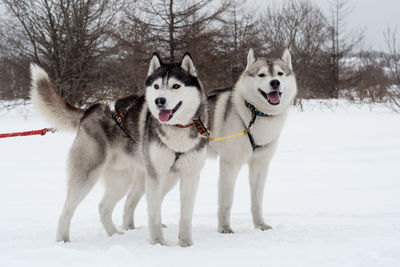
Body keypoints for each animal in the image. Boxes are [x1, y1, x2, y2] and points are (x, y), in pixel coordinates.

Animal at [29, 52, 208, 247]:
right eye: (156, 86)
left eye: (176, 86)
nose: (159, 101)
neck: (177, 130)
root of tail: (91, 110)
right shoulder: (155, 175)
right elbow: (154, 215)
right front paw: (158, 244)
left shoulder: (190, 175)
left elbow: (186, 217)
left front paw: (186, 244)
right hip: (88, 175)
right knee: (67, 209)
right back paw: (63, 239)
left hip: (129, 180)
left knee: (104, 207)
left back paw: (114, 233)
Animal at [209, 49, 296, 233]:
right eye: (262, 74)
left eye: (280, 73)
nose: (275, 82)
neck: (257, 113)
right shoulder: (230, 165)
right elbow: (226, 201)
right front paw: (224, 228)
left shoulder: (260, 166)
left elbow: (257, 201)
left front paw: (260, 224)